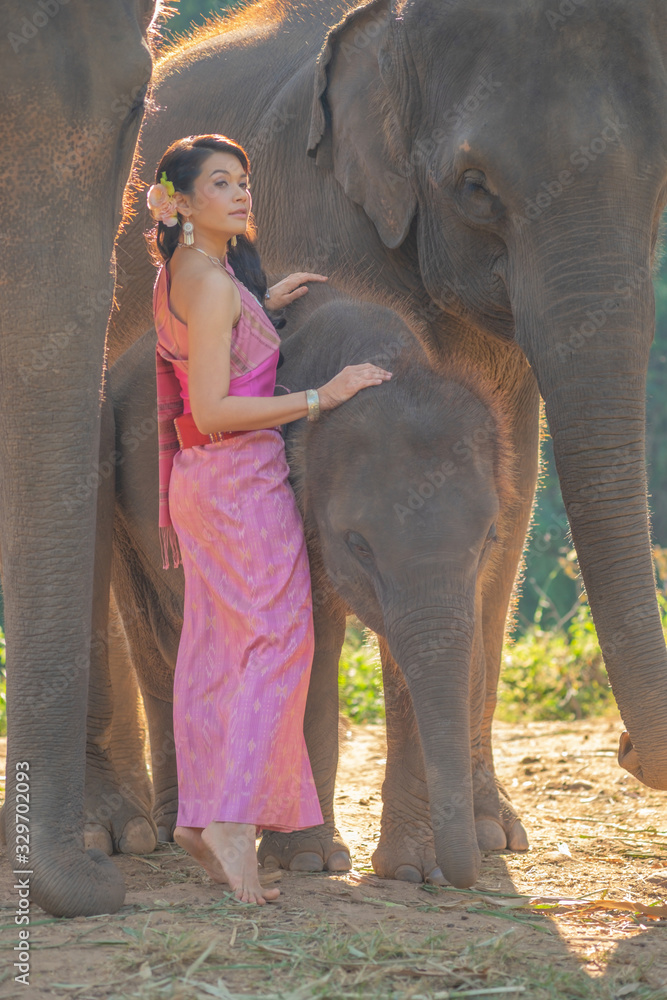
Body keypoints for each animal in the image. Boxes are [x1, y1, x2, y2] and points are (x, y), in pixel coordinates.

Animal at [79, 0, 667, 892]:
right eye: (473, 187)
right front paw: (339, 862)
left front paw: (471, 849)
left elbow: (509, 501)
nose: (629, 750)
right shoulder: (312, 203)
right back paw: (129, 836)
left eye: (660, 180)